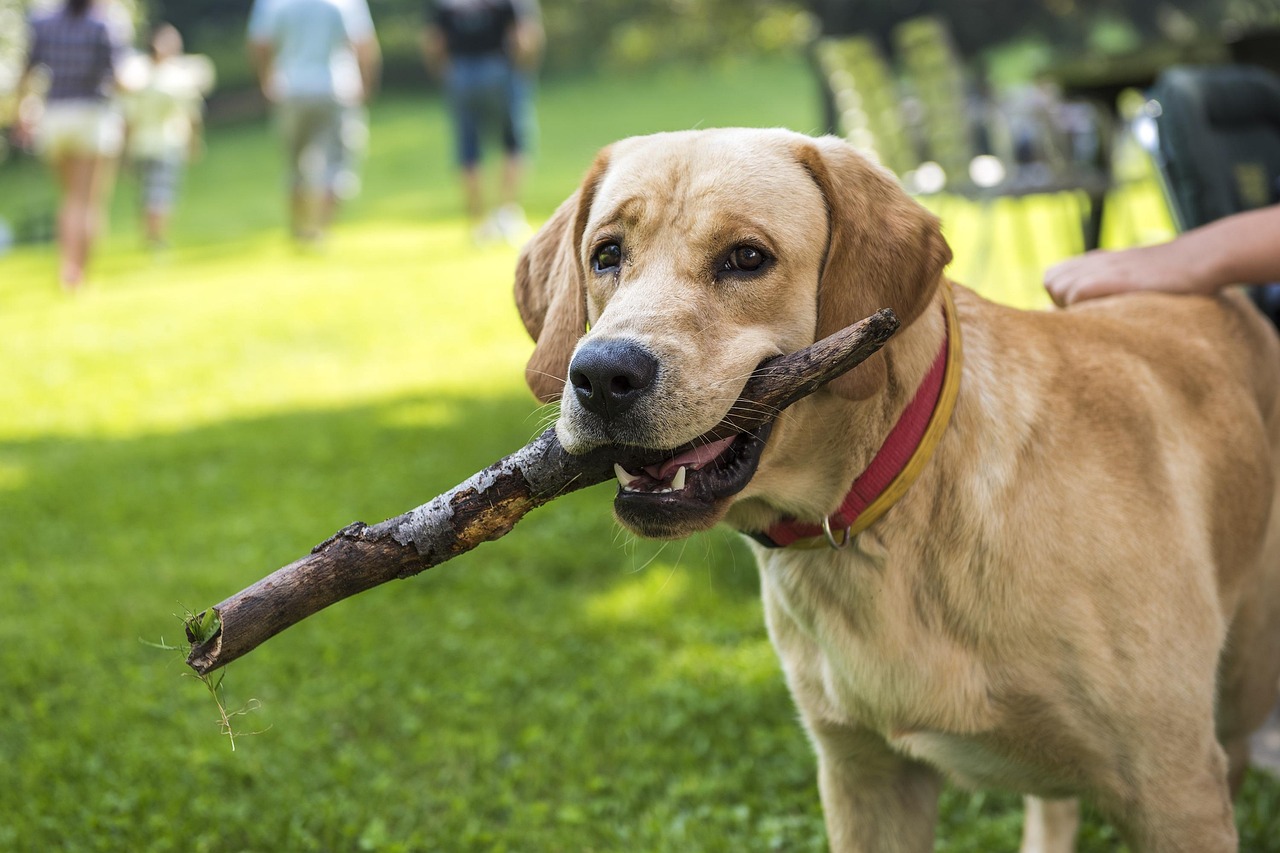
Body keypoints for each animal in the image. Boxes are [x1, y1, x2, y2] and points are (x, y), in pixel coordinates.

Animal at [509, 128, 1280, 850]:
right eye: (606, 254)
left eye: (747, 258)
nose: (602, 375)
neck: (889, 514)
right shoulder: (865, 776)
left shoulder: (1174, 791)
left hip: (1241, 690)